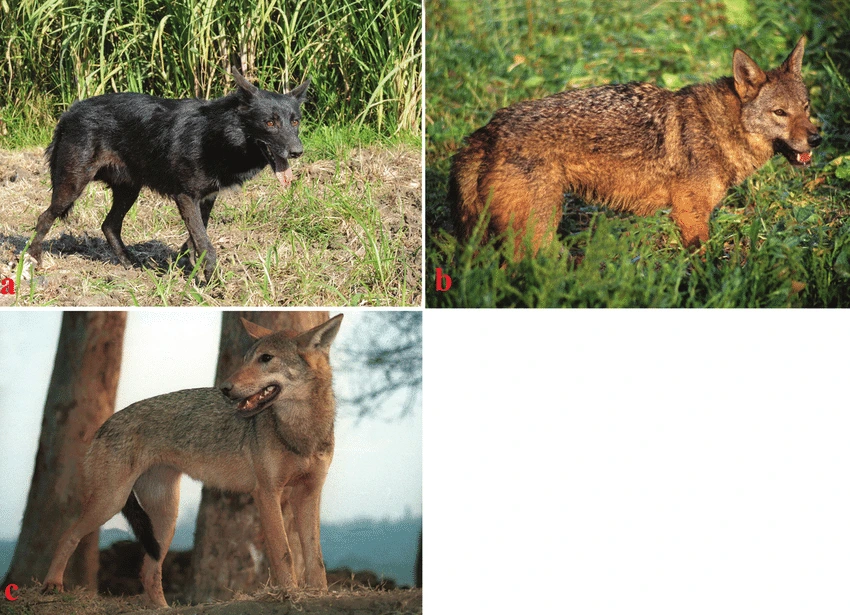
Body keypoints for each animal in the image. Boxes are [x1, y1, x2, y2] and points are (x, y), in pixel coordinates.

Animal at [28, 68, 309, 283]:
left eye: (295, 121)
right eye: (269, 123)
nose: (297, 152)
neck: (218, 134)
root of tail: (69, 112)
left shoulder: (206, 199)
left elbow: (196, 238)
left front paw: (186, 265)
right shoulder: (185, 197)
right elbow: (205, 243)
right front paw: (212, 281)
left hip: (129, 190)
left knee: (109, 225)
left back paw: (130, 264)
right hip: (72, 186)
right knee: (44, 218)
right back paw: (34, 260)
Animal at [42, 315, 343, 607]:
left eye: (266, 358)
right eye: (247, 359)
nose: (225, 389)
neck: (300, 431)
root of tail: (103, 424)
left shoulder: (307, 494)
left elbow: (314, 558)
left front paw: (319, 595)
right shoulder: (267, 493)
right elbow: (284, 553)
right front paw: (289, 594)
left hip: (165, 517)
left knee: (148, 571)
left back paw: (162, 609)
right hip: (111, 502)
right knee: (67, 535)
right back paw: (52, 585)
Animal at [450, 37, 821, 254]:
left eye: (805, 107)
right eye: (780, 113)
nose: (817, 138)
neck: (719, 129)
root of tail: (487, 130)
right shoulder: (690, 216)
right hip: (539, 234)